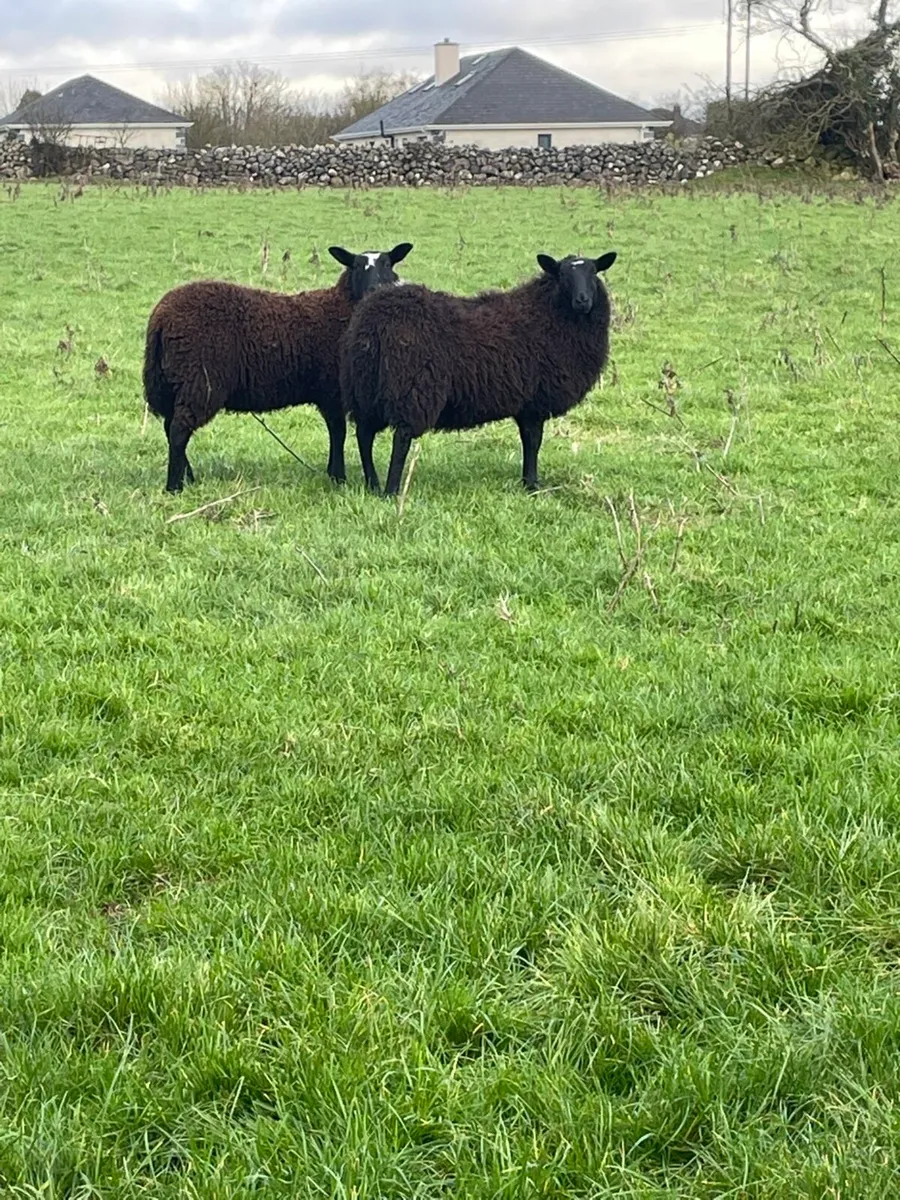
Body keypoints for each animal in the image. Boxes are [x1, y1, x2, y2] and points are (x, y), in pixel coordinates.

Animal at [143, 242, 413, 492]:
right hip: (200, 380)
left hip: (173, 381)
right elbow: (338, 432)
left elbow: (336, 432)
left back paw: (187, 477)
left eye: (388, 264)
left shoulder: (330, 392)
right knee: (179, 429)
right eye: (356, 266)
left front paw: (334, 475)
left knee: (170, 426)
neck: (343, 307)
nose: (375, 290)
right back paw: (174, 486)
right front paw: (339, 477)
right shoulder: (333, 390)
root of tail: (161, 316)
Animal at [339, 251, 617, 496]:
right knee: (401, 439)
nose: (582, 300)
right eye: (563, 275)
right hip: (411, 389)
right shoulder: (535, 402)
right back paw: (391, 490)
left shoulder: (526, 403)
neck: (549, 314)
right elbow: (534, 442)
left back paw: (373, 485)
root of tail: (374, 318)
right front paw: (532, 485)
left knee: (364, 435)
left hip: (366, 388)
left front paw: (527, 482)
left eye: (593, 271)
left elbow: (528, 440)